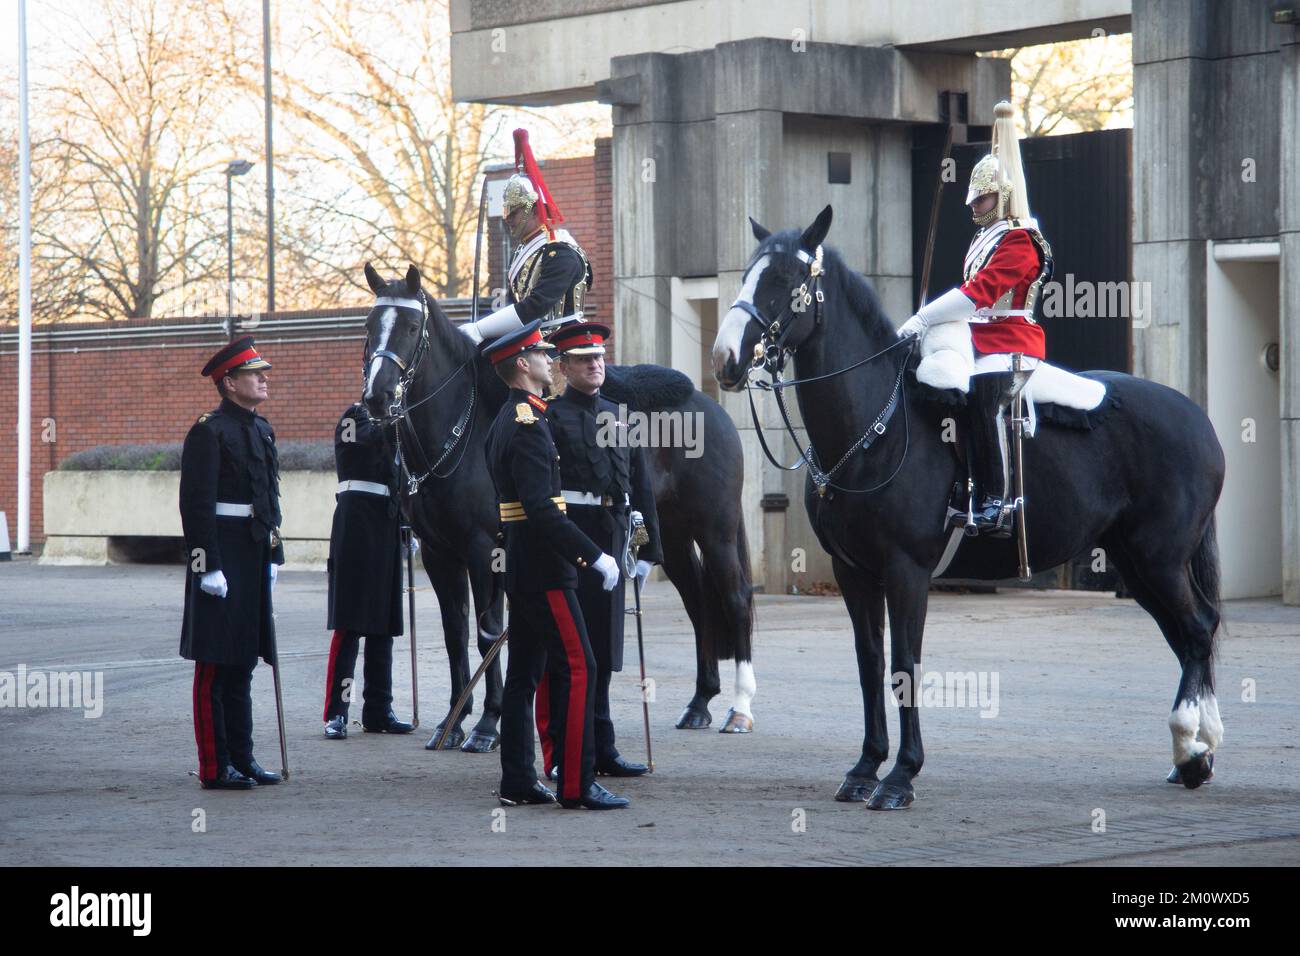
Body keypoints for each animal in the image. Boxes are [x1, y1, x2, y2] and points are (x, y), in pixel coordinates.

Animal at [361, 264, 759, 754]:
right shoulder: (438, 553)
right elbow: (456, 633)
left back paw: (739, 709)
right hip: (673, 535)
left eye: (412, 327)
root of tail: (709, 405)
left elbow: (487, 632)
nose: (377, 397)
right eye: (369, 325)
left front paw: (486, 724)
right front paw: (452, 722)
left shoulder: (483, 549)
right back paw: (700, 702)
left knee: (735, 597)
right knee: (698, 599)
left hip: (715, 528)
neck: (459, 434)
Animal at [717, 208, 1222, 806]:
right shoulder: (853, 572)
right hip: (1136, 563)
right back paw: (1197, 753)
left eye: (786, 280)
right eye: (749, 273)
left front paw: (900, 776)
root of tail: (1196, 417)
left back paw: (1190, 748)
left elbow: (904, 666)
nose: (725, 359)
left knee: (1197, 631)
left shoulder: (906, 571)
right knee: (1186, 635)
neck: (874, 430)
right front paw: (865, 768)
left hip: (1159, 559)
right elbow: (869, 662)